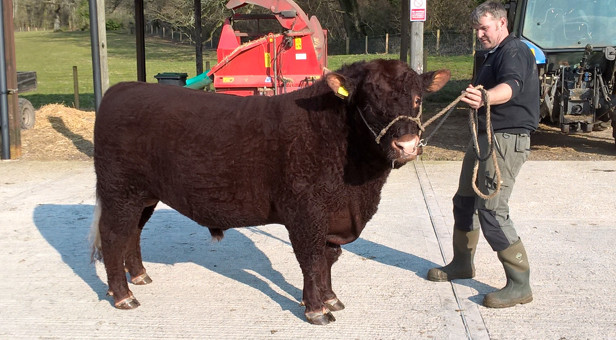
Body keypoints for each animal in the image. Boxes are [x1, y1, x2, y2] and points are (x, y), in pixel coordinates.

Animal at [89, 58, 450, 324]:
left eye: (417, 99)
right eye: (370, 101)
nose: (407, 146)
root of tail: (121, 89)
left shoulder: (333, 214)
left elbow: (329, 258)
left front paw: (331, 298)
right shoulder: (306, 212)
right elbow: (311, 259)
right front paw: (316, 309)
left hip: (144, 196)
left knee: (132, 233)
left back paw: (139, 276)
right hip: (119, 190)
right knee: (113, 234)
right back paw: (123, 296)